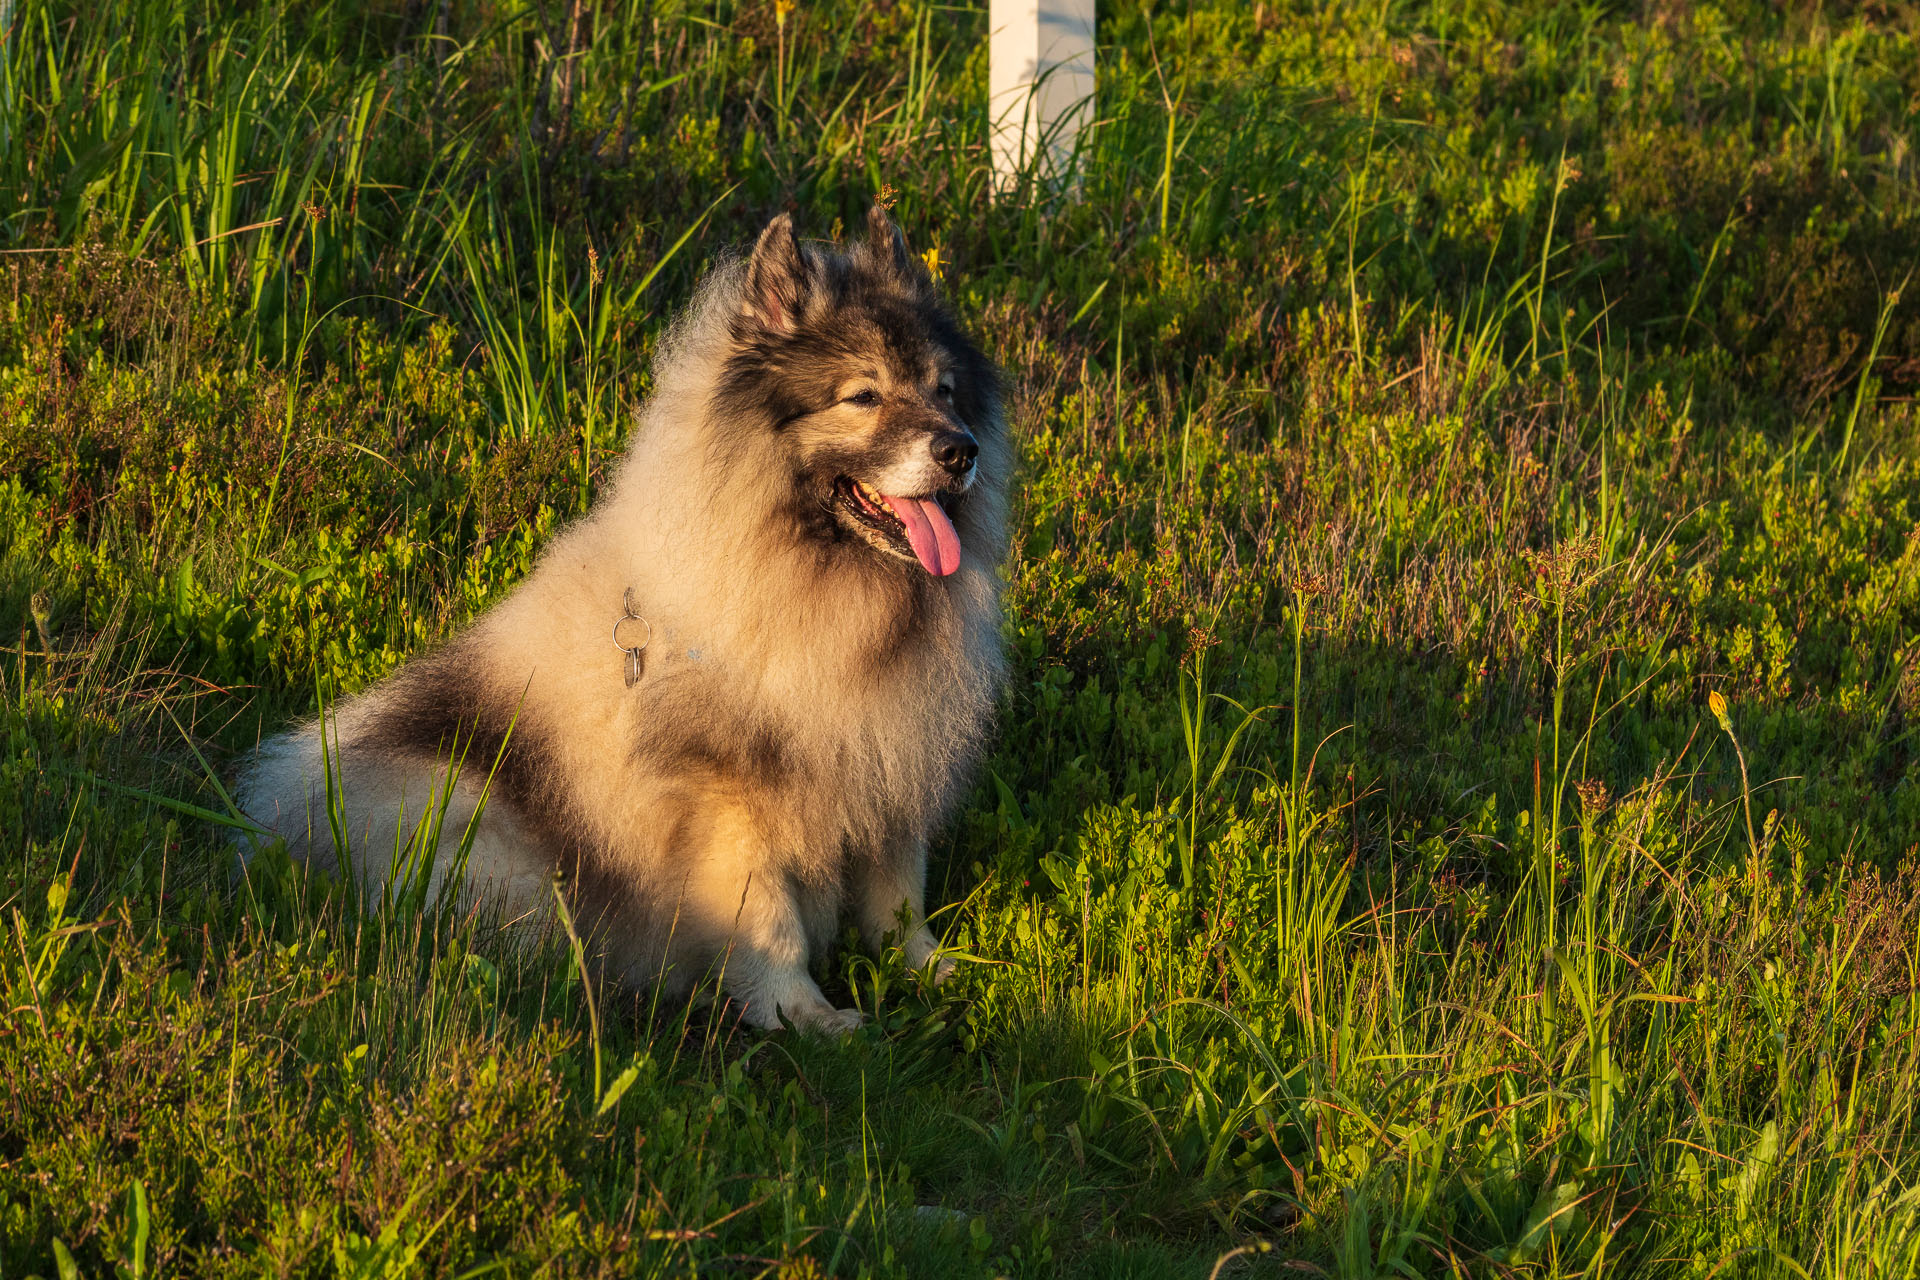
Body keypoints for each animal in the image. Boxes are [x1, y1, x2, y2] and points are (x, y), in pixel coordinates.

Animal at [240, 208, 1013, 1028]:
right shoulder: (729, 799)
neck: (826, 589)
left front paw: (934, 972)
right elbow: (771, 921)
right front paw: (804, 1018)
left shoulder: (888, 764)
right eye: (863, 396)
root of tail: (282, 823)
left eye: (946, 392)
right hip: (475, 827)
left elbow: (898, 897)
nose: (960, 451)